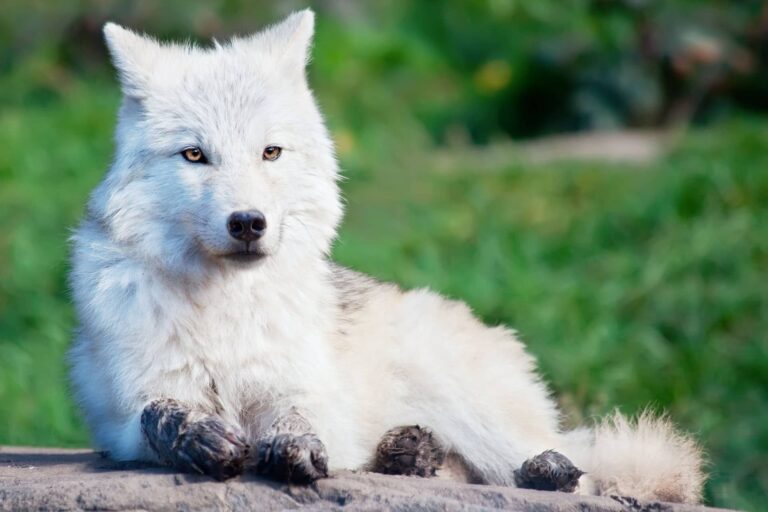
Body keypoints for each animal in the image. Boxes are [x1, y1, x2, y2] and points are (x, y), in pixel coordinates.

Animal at [69, 9, 704, 504]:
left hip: (460, 394)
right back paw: (410, 454)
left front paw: (292, 447)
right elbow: (163, 414)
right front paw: (202, 438)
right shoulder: (124, 420)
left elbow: (295, 416)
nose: (248, 223)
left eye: (270, 152)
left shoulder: (300, 391)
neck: (227, 310)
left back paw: (537, 470)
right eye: (194, 155)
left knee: (565, 471)